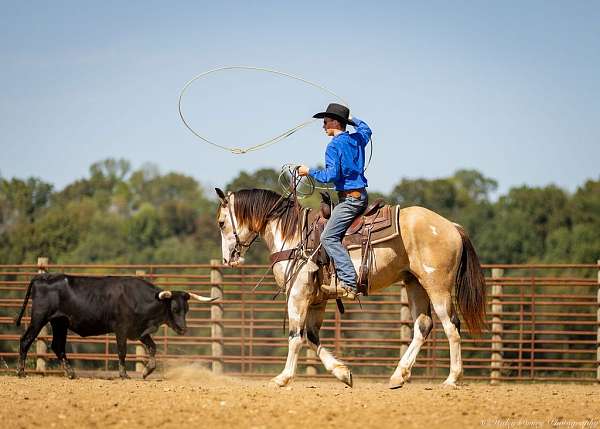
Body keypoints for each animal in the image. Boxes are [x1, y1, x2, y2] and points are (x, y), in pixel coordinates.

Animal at [14, 274, 217, 378]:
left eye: (186, 309)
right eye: (174, 309)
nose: (184, 329)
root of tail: (43, 278)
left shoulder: (141, 331)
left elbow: (153, 347)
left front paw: (147, 371)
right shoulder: (121, 329)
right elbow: (122, 352)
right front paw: (124, 374)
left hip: (60, 322)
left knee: (58, 346)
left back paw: (71, 373)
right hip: (39, 318)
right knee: (25, 341)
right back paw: (21, 372)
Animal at [213, 187, 486, 388]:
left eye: (221, 222)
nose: (228, 259)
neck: (292, 234)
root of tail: (451, 226)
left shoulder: (297, 295)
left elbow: (295, 337)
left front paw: (283, 377)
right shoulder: (317, 300)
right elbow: (311, 337)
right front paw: (342, 373)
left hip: (437, 286)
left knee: (451, 327)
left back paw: (451, 379)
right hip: (415, 284)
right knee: (423, 326)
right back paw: (398, 375)